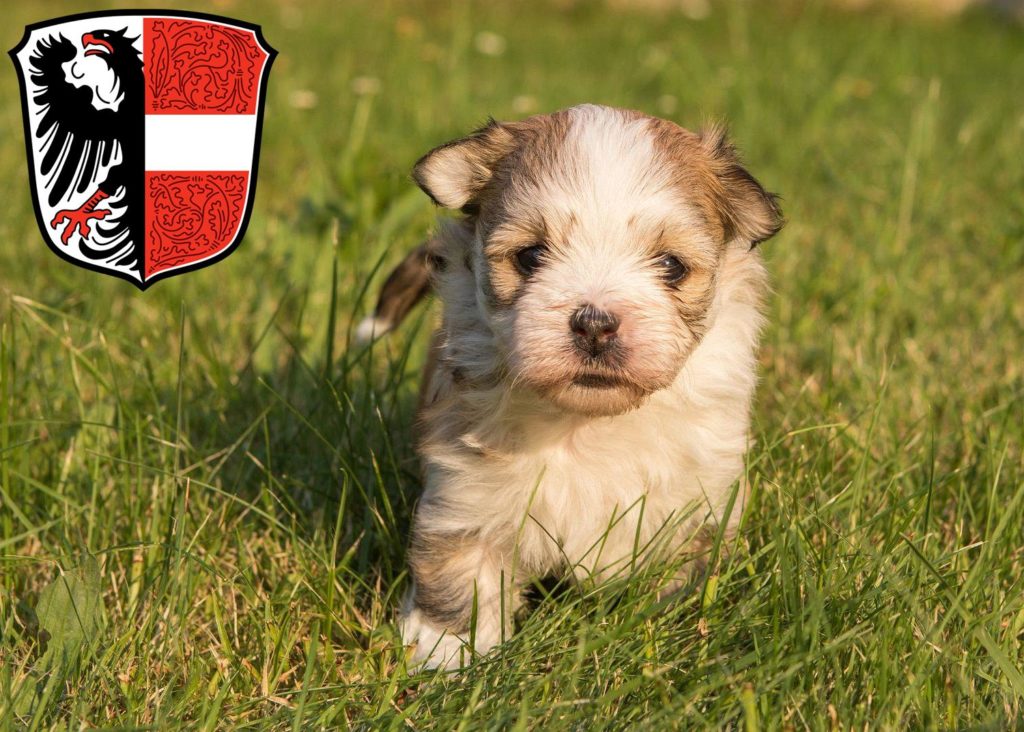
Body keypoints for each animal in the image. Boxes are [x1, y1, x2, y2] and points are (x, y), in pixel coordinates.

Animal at [362, 102, 782, 671]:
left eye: (670, 265)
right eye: (530, 256)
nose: (595, 324)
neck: (587, 422)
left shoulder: (701, 497)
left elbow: (687, 573)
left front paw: (678, 630)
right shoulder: (467, 492)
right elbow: (459, 568)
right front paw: (447, 653)